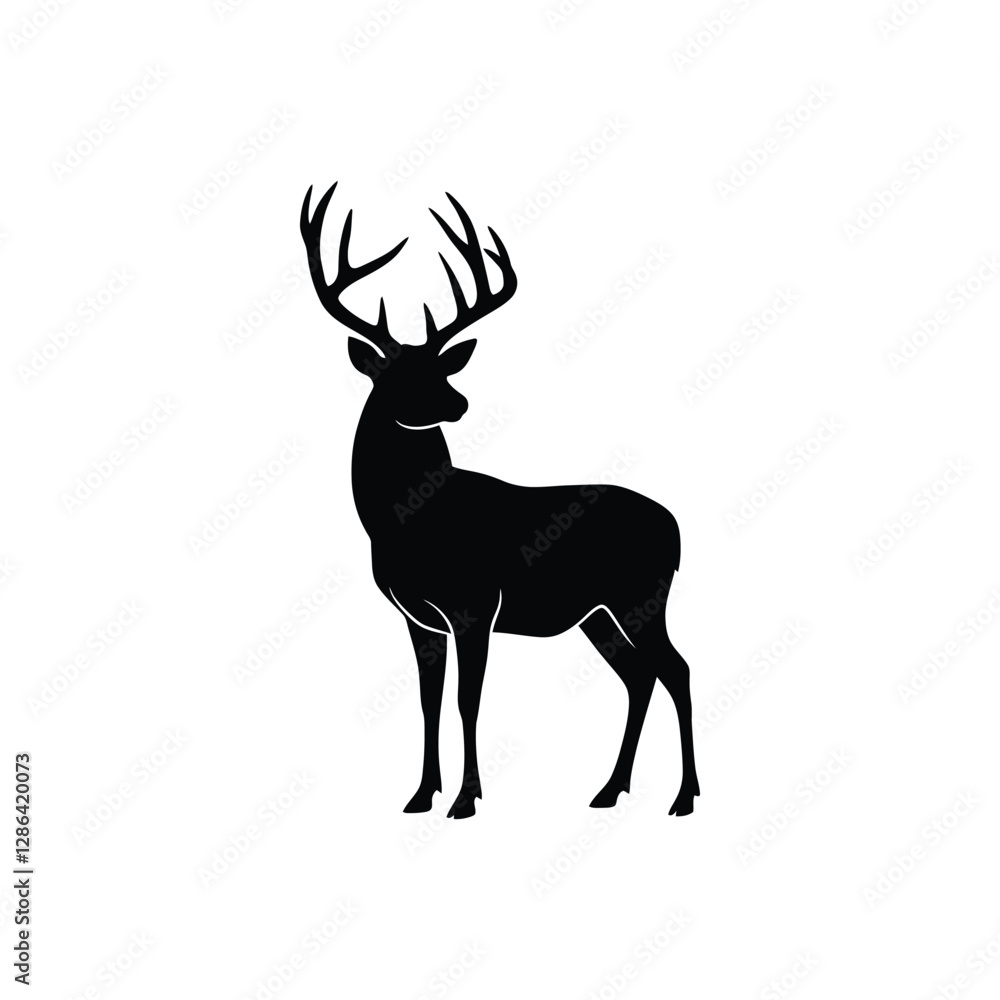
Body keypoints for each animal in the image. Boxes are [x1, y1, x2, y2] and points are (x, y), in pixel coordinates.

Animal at [300, 182, 699, 819]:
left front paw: (466, 799)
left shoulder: (476, 604)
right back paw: (609, 790)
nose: (458, 403)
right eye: (394, 375)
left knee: (676, 670)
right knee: (639, 675)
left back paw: (683, 797)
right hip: (598, 612)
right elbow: (429, 699)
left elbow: (469, 700)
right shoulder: (418, 617)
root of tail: (676, 528)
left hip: (641, 593)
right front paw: (421, 795)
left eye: (441, 368)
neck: (408, 526)